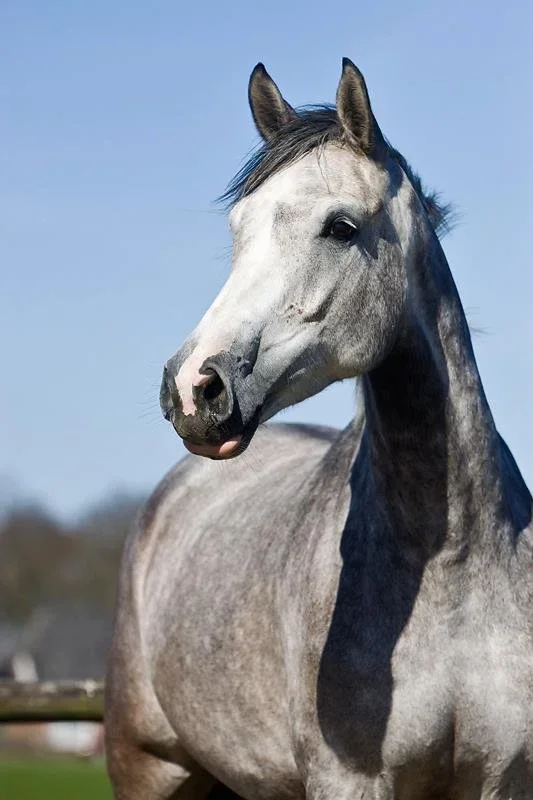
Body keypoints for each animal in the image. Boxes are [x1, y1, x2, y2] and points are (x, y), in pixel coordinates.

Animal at [105, 59, 533, 799]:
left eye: (340, 227)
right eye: (238, 228)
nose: (192, 388)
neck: (454, 564)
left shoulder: (502, 779)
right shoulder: (349, 780)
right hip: (148, 770)